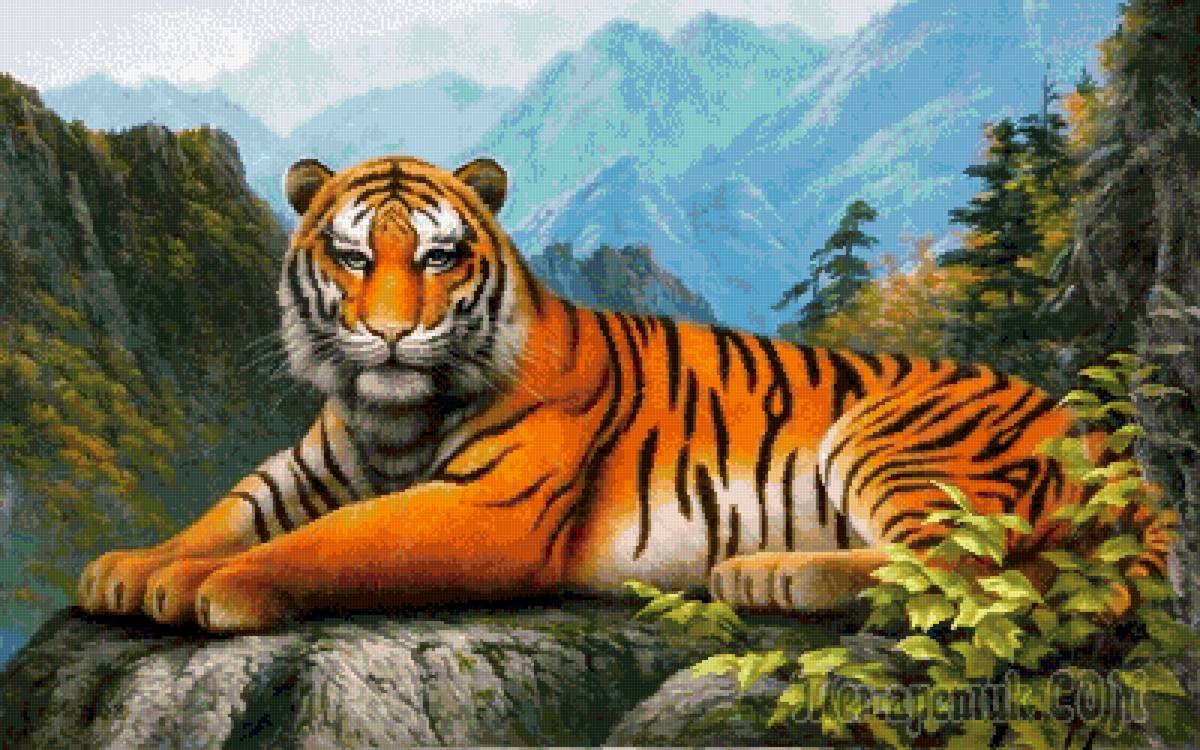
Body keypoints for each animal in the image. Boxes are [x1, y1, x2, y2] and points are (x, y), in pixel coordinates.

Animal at [77, 155, 1174, 632]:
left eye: (436, 255)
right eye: (350, 256)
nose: (387, 332)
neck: (391, 414)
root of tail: (1107, 442)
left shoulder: (491, 510)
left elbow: (332, 541)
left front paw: (217, 589)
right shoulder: (307, 469)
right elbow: (228, 513)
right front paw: (132, 569)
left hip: (893, 436)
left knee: (971, 570)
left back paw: (771, 576)